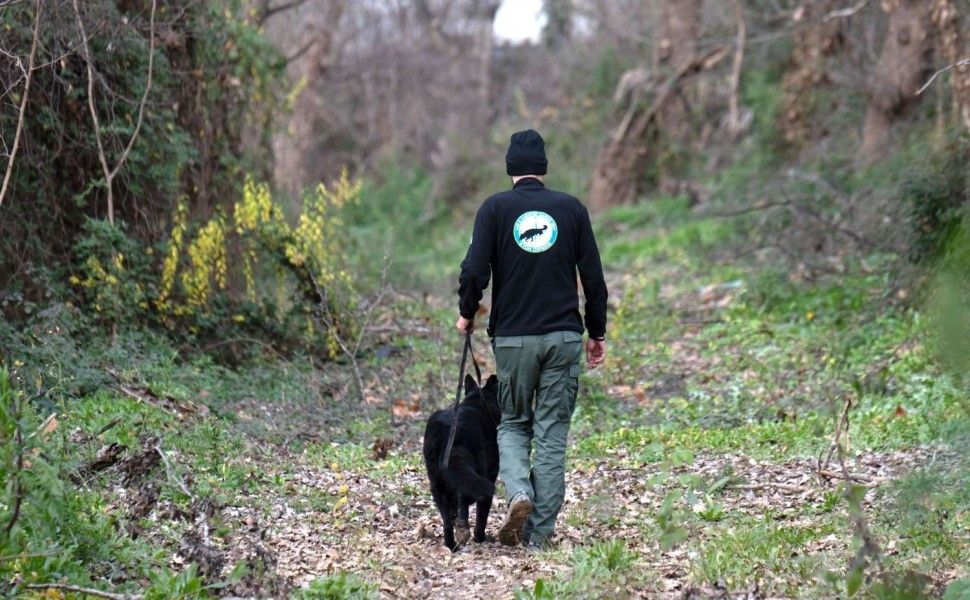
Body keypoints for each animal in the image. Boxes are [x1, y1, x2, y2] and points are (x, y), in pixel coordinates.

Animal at [422, 372, 500, 552]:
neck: (479, 403)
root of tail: (446, 430)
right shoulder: (490, 475)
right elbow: (481, 513)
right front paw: (480, 537)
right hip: (475, 471)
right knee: (466, 497)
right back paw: (464, 530)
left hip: (437, 484)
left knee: (447, 523)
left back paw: (452, 545)